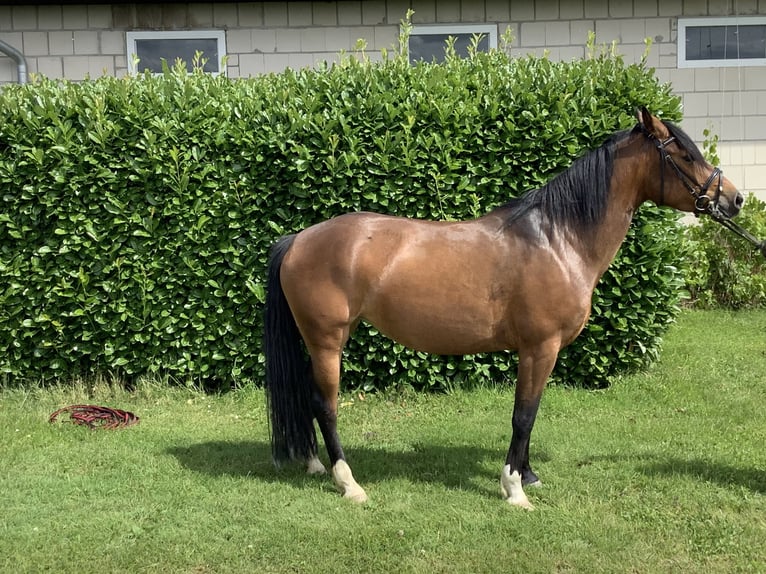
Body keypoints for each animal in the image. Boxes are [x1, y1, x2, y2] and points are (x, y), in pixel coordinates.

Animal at [264, 110, 744, 510]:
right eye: (684, 154)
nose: (734, 200)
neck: (557, 239)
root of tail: (298, 239)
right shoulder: (539, 348)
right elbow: (524, 414)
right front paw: (514, 488)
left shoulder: (539, 352)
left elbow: (531, 412)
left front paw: (528, 475)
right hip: (328, 341)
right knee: (326, 405)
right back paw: (349, 483)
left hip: (317, 343)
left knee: (309, 399)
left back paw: (314, 465)